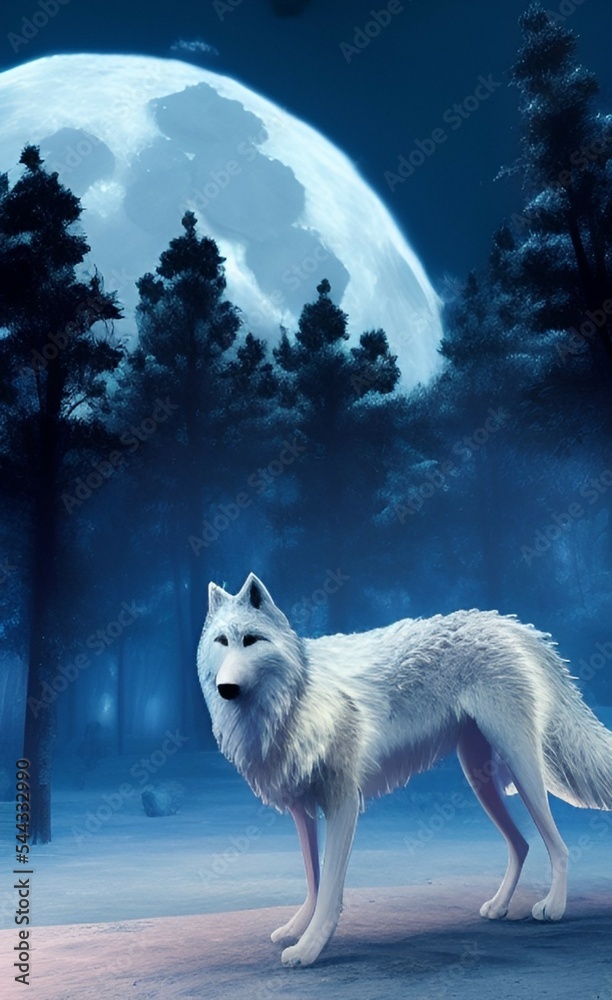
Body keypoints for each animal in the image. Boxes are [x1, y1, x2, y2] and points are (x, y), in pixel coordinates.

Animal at [197, 572, 612, 967]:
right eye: (222, 641)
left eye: (251, 640)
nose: (226, 688)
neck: (296, 696)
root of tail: (507, 623)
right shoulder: (303, 809)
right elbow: (313, 881)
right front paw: (296, 930)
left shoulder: (344, 803)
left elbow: (329, 889)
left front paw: (310, 948)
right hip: (479, 776)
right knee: (522, 844)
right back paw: (499, 906)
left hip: (521, 765)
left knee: (558, 846)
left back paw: (553, 907)